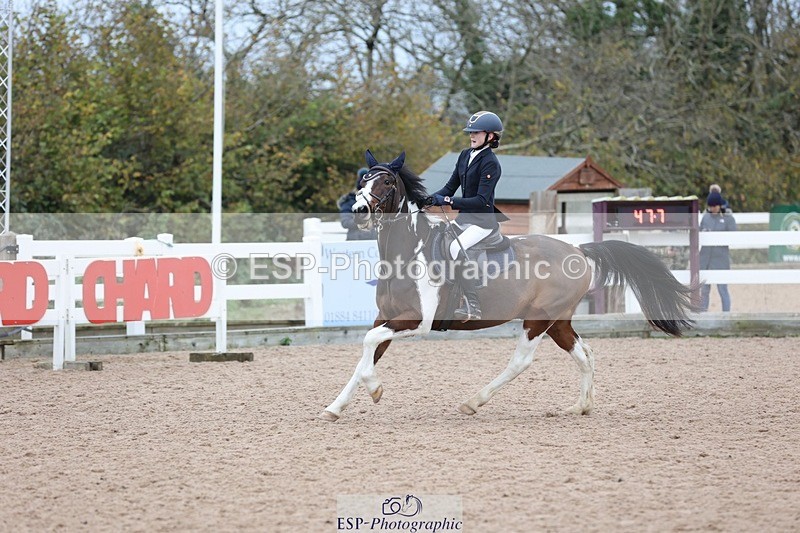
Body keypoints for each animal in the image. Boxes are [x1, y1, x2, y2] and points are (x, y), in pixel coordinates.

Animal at [321, 150, 697, 421]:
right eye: (364, 179)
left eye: (386, 182)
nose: (359, 210)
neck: (408, 251)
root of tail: (578, 249)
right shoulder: (386, 317)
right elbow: (366, 354)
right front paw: (335, 408)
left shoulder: (418, 321)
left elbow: (369, 345)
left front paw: (375, 390)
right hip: (558, 321)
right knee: (584, 354)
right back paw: (580, 407)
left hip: (539, 319)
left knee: (521, 362)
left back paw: (473, 402)